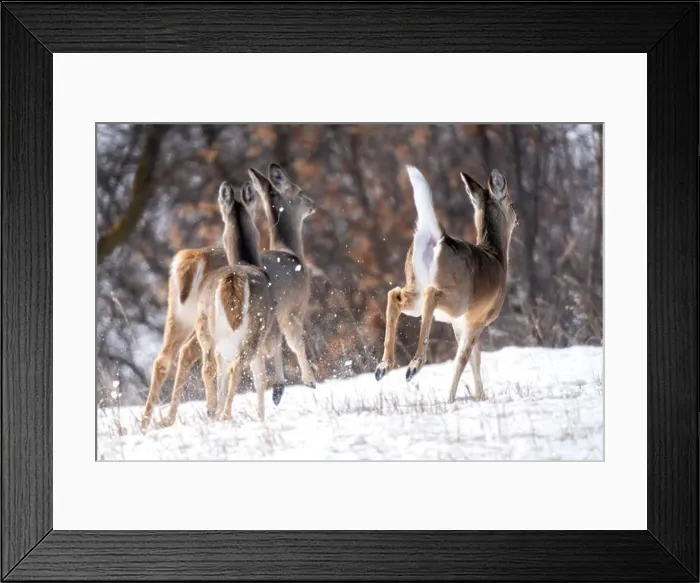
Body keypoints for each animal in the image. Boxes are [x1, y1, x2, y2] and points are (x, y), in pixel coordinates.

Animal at [140, 181, 262, 431]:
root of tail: (194, 257)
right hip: (207, 323)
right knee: (199, 357)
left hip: (179, 315)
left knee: (165, 358)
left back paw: (148, 422)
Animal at [247, 164, 317, 405]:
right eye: (299, 190)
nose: (313, 203)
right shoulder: (292, 307)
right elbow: (295, 342)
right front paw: (310, 380)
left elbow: (277, 346)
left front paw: (279, 387)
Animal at [374, 165, 518, 404]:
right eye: (512, 204)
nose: (518, 217)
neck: (497, 256)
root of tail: (437, 237)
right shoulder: (477, 319)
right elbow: (463, 359)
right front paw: (451, 397)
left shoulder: (460, 324)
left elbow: (474, 359)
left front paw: (480, 397)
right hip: (457, 298)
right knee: (430, 294)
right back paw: (413, 366)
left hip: (415, 286)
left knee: (394, 294)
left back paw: (383, 366)